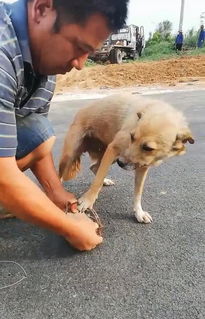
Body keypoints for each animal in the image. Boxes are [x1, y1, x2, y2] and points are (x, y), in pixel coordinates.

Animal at [58, 93, 194, 222]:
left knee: (94, 167)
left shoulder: (142, 165)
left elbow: (138, 192)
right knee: (60, 176)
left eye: (148, 148)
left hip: (108, 154)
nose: (121, 163)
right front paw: (87, 200)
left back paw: (105, 180)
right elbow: (97, 182)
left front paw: (139, 212)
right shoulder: (114, 148)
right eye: (132, 137)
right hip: (73, 154)